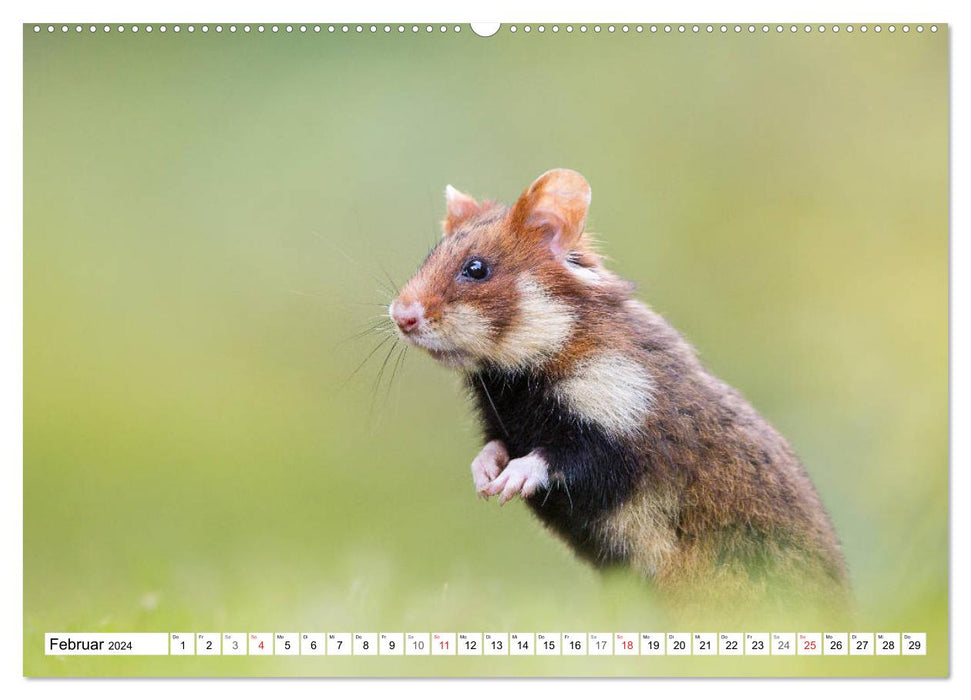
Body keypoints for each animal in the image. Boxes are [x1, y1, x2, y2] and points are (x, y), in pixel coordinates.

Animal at [388, 168, 852, 608]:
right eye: (430, 255)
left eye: (476, 268)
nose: (399, 315)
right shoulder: (506, 425)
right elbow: (494, 447)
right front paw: (484, 479)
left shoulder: (621, 424)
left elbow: (558, 458)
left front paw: (509, 482)